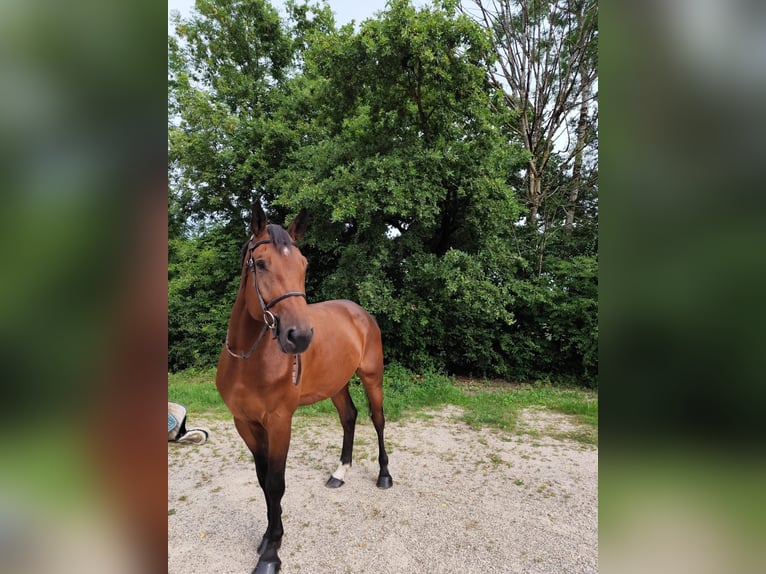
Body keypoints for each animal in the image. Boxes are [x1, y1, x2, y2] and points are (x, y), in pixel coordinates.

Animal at [215, 202, 393, 574]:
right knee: (349, 417)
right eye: (261, 263)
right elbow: (263, 481)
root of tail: (359, 311)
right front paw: (269, 536)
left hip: (372, 378)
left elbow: (276, 484)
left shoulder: (280, 422)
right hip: (337, 385)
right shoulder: (245, 424)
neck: (248, 359)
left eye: (304, 265)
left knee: (378, 420)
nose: (299, 336)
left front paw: (271, 553)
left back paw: (384, 475)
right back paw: (340, 472)